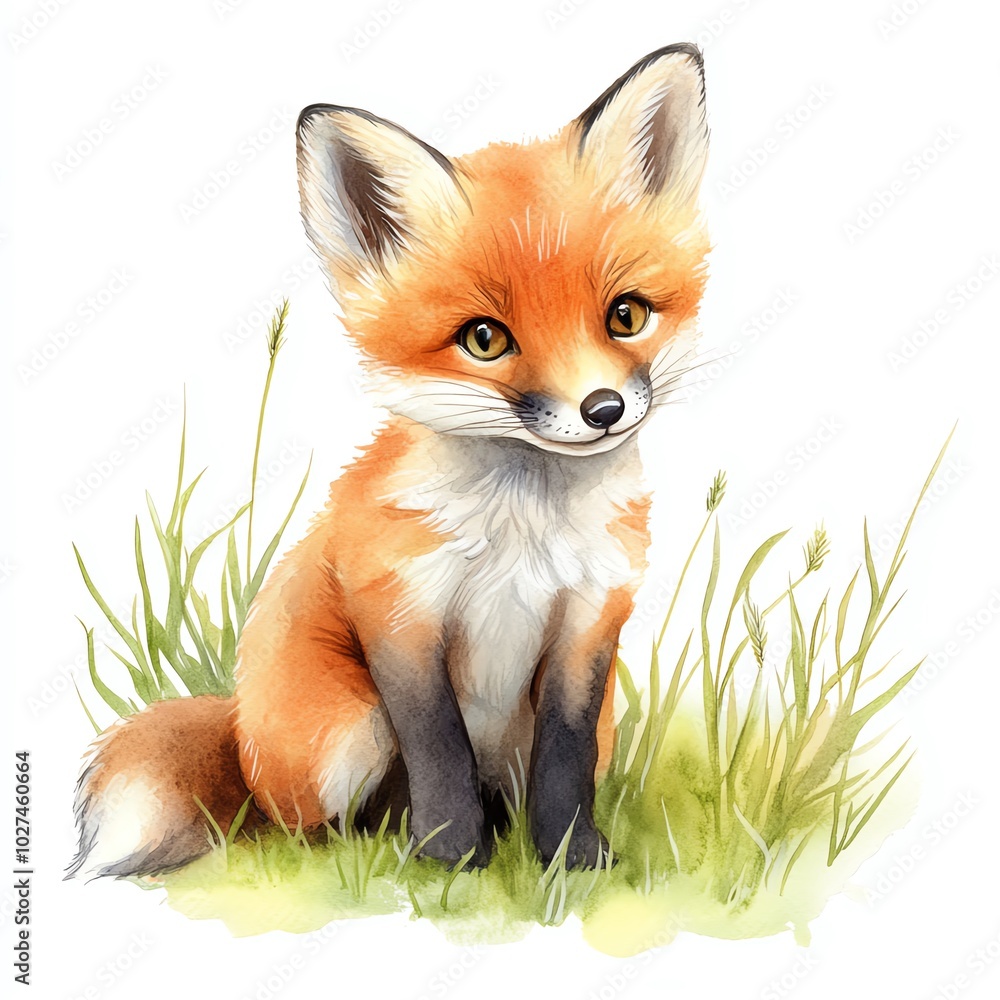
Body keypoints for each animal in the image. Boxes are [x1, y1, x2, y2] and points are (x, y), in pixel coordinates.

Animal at [70, 43, 711, 878]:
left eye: (626, 315)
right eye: (484, 339)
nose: (602, 409)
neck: (523, 533)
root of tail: (240, 735)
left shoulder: (589, 624)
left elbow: (565, 760)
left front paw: (570, 858)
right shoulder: (401, 611)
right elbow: (437, 745)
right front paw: (451, 859)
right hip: (347, 729)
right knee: (305, 829)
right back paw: (381, 849)